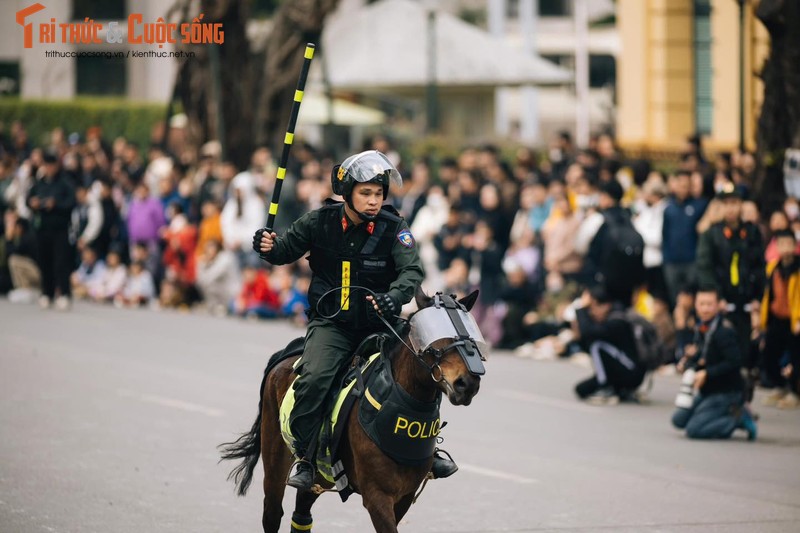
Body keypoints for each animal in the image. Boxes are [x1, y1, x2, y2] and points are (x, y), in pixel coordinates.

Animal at [219, 288, 482, 528]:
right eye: (436, 333)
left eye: (472, 335)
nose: (468, 382)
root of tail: (286, 355)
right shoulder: (377, 497)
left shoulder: (404, 498)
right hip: (275, 459)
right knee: (273, 511)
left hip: (323, 472)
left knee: (302, 509)